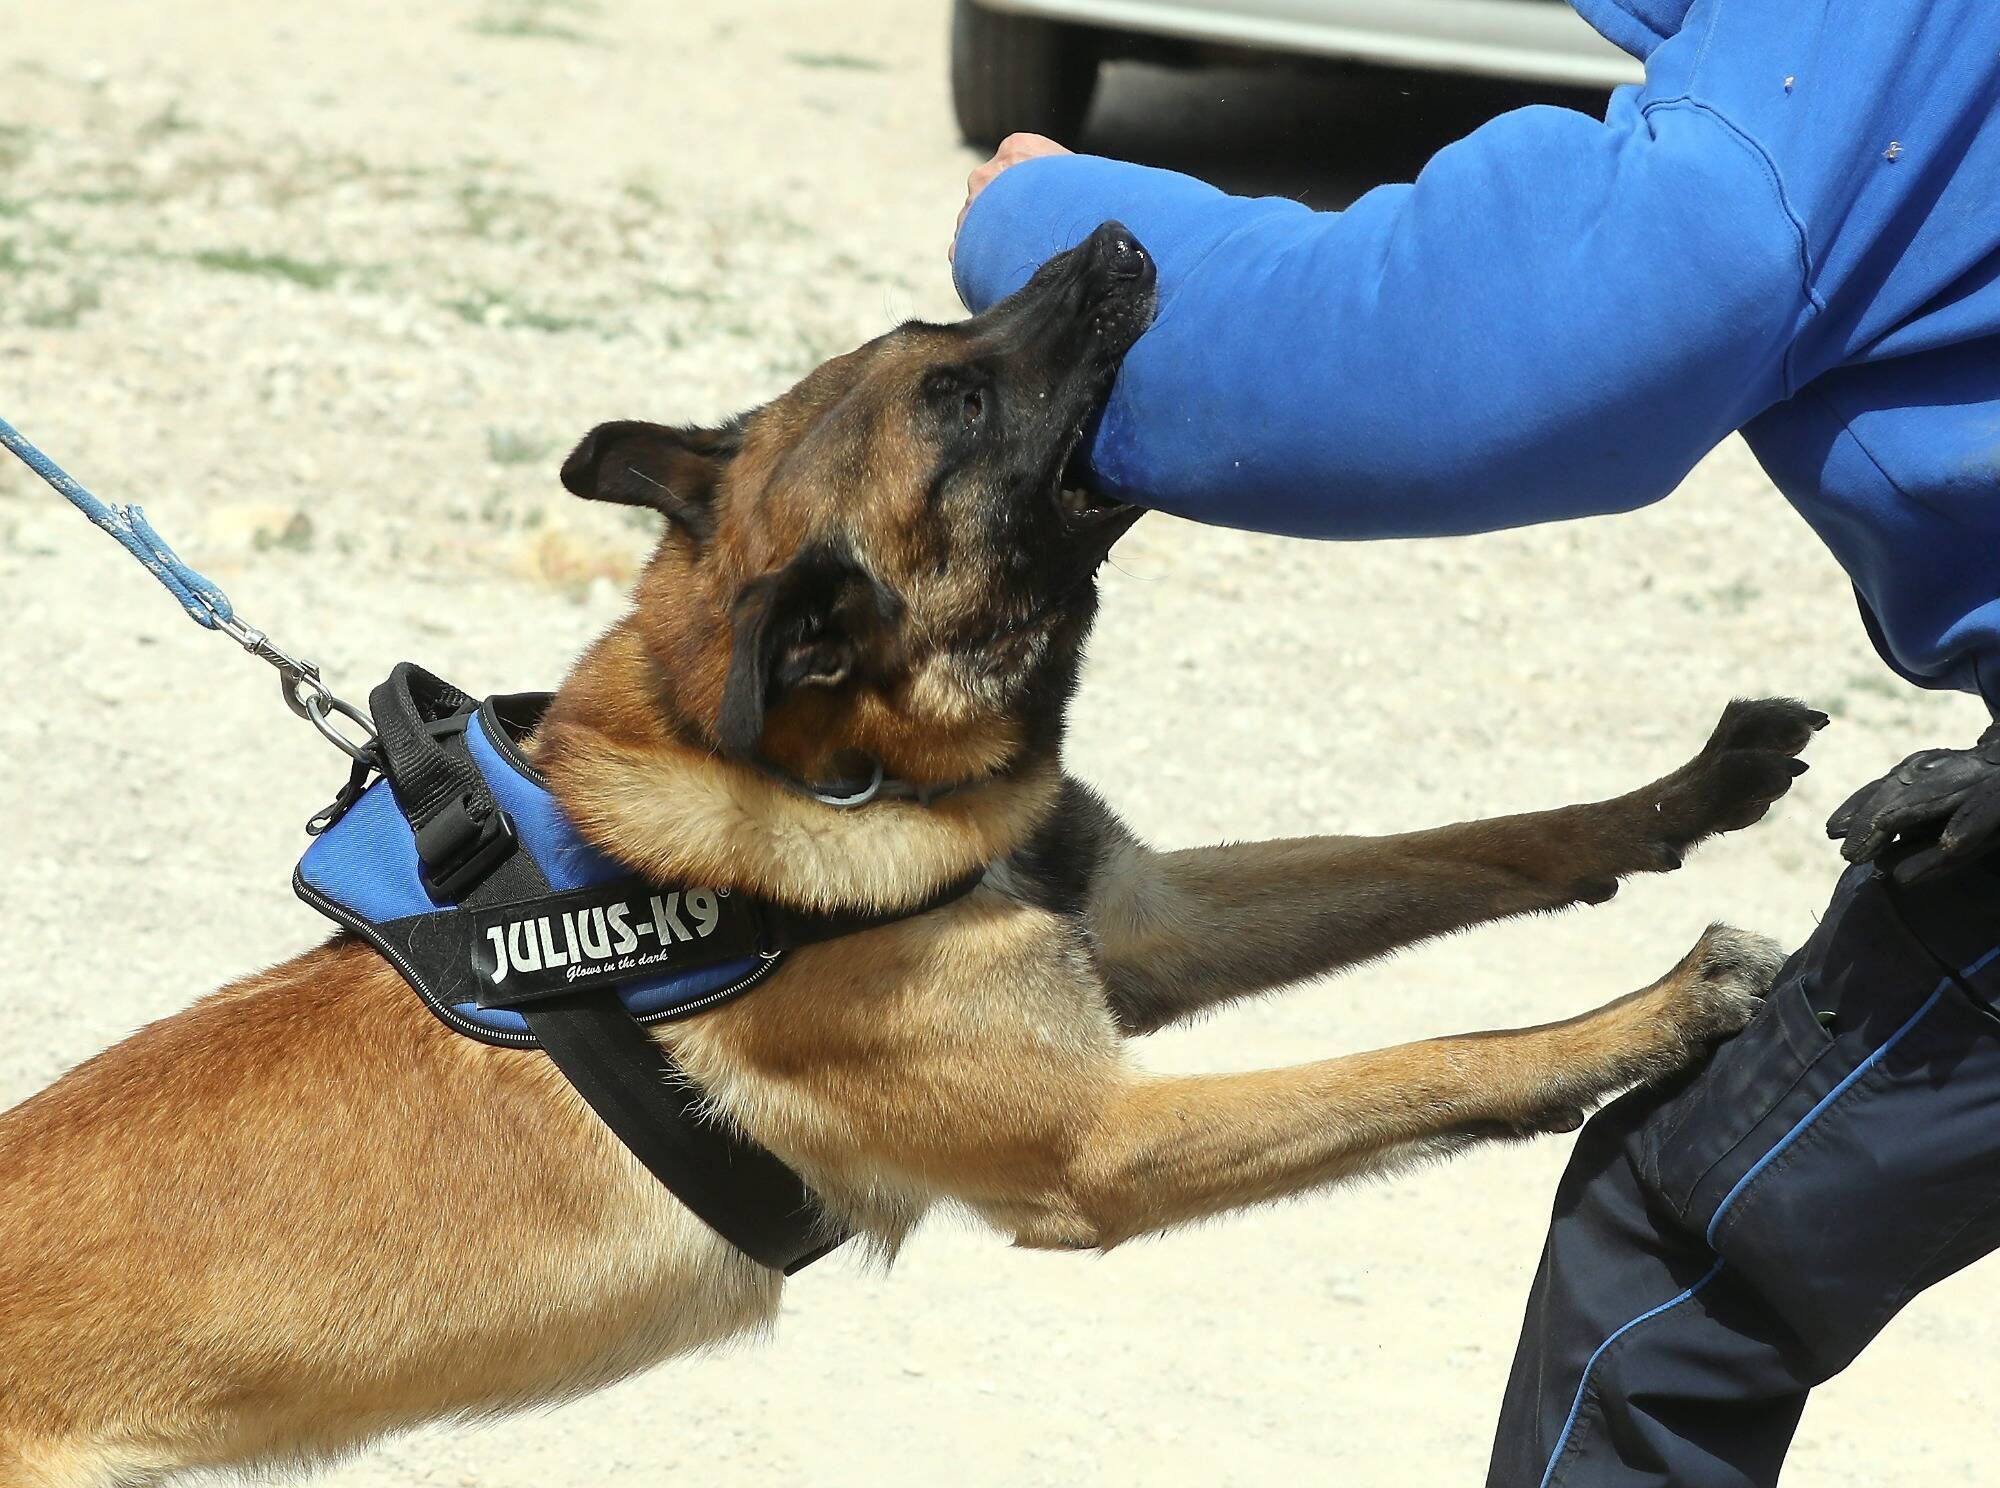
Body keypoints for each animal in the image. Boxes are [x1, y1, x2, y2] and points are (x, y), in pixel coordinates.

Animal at [0, 224, 1832, 1488]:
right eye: (956, 392)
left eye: (924, 331)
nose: (1111, 234)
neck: (837, 779)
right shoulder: (1102, 1149)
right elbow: (1436, 1056)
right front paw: (1657, 1010)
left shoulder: (1146, 920)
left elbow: (1463, 841)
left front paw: (1686, 793)